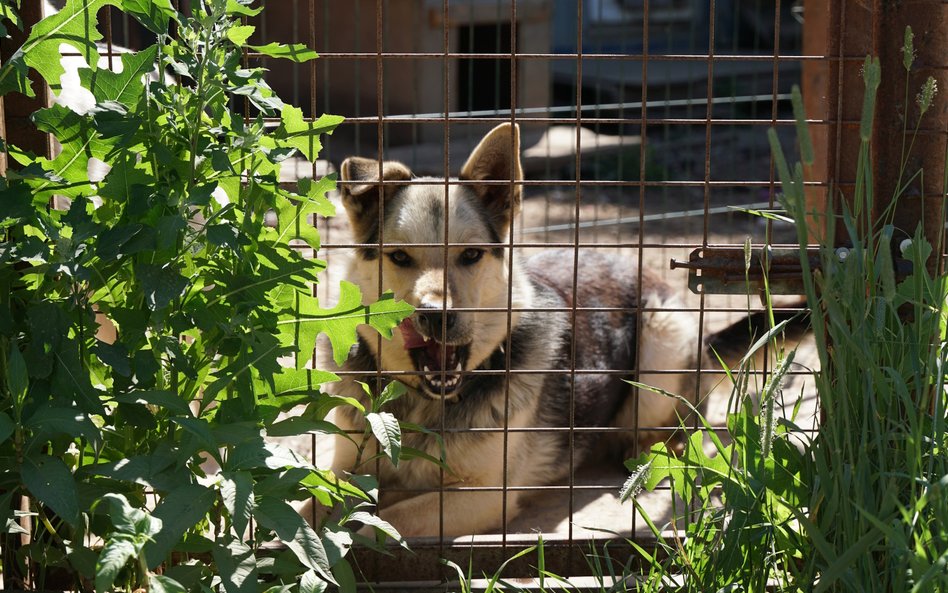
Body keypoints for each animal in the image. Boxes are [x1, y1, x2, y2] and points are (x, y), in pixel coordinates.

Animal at [308, 122, 772, 540]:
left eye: (471, 255)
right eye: (400, 257)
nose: (438, 316)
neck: (423, 405)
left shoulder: (481, 496)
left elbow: (375, 527)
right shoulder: (344, 470)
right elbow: (308, 504)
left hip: (660, 347)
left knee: (682, 427)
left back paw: (649, 452)